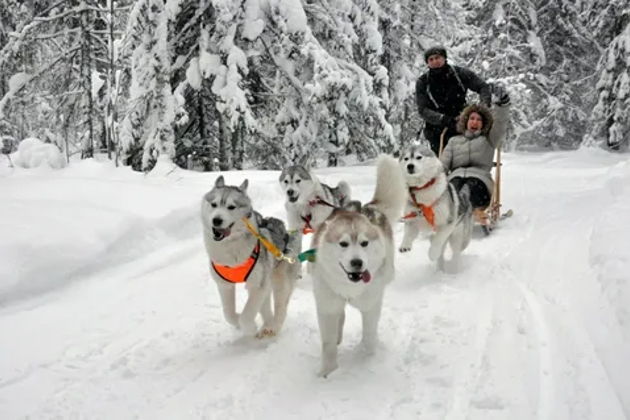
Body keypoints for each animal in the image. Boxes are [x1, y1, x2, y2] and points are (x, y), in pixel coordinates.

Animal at [202, 176, 302, 336]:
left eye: (231, 207)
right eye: (214, 204)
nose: (216, 220)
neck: (231, 251)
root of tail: (286, 231)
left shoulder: (257, 286)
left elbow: (247, 315)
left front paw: (250, 327)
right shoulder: (224, 285)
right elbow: (228, 313)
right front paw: (237, 321)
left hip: (280, 280)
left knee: (281, 306)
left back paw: (273, 326)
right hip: (267, 280)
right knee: (266, 305)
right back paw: (267, 323)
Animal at [310, 155, 408, 378]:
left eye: (364, 243)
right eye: (343, 244)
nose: (357, 262)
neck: (350, 288)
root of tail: (369, 207)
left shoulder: (371, 304)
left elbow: (369, 336)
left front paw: (368, 360)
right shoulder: (327, 306)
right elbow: (328, 343)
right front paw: (327, 372)